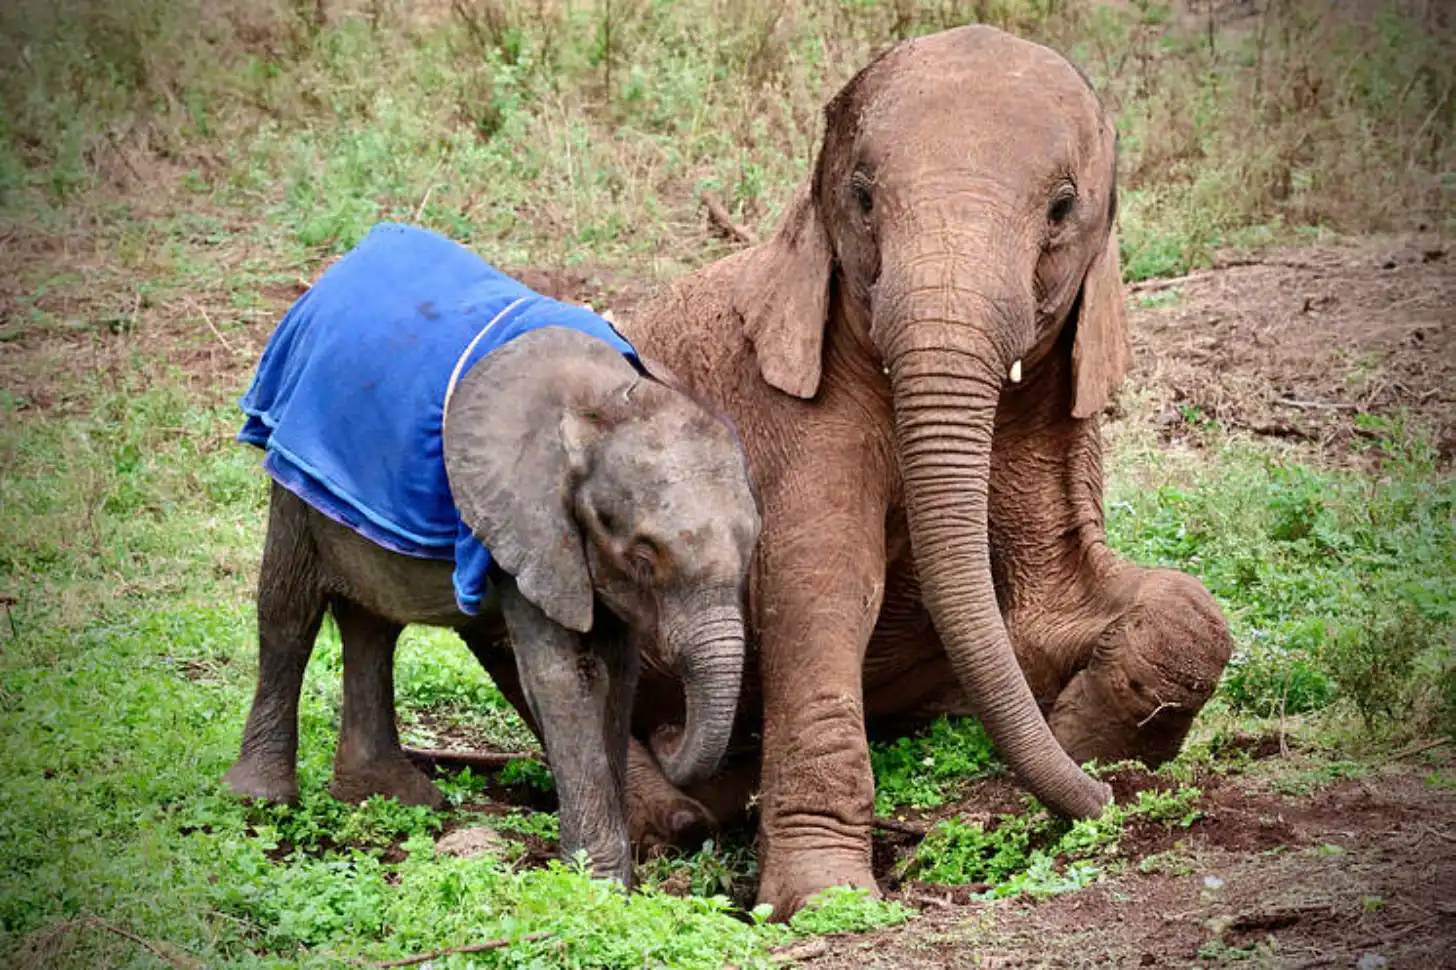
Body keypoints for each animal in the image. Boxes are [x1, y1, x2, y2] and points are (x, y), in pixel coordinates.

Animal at [221, 224, 762, 888]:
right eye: (642, 554)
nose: (667, 733)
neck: (609, 403)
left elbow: (615, 671)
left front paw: (616, 875)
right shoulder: (525, 525)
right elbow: (562, 677)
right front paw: (599, 884)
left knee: (374, 620)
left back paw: (388, 795)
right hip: (295, 471)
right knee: (289, 609)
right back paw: (261, 798)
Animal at [581, 25, 1235, 914]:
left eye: (1063, 208)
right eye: (861, 199)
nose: (1102, 806)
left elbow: (1130, 611)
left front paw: (1081, 748)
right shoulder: (795, 415)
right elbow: (819, 589)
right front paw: (826, 901)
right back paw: (677, 816)